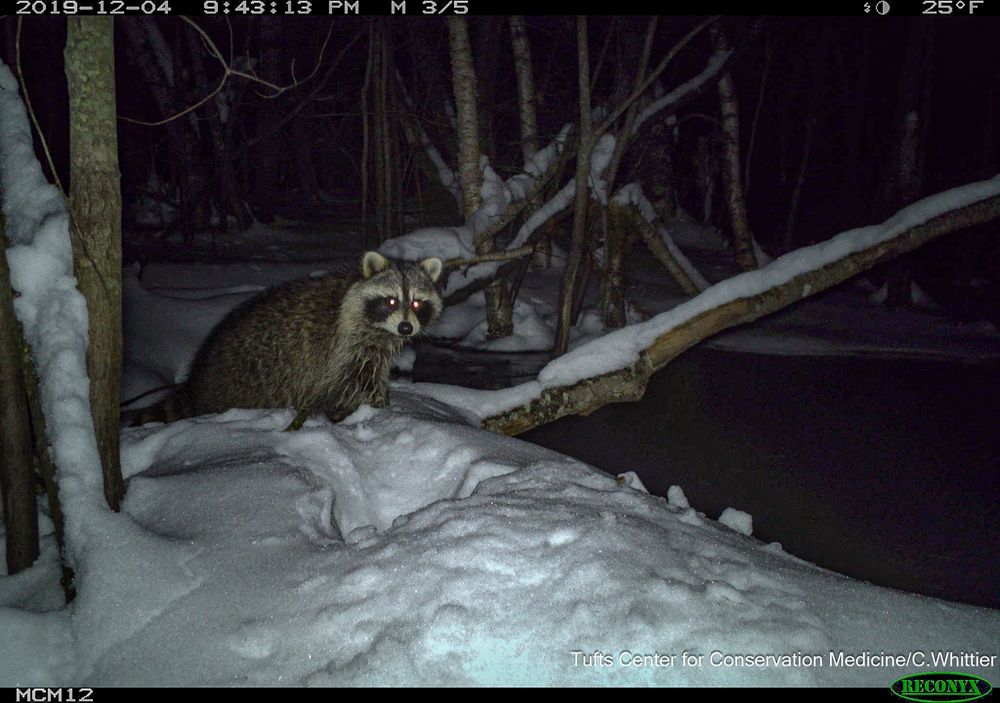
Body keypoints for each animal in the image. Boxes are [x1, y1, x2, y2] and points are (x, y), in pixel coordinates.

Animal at [135, 251, 443, 425]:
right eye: (390, 301)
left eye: (417, 303)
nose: (406, 328)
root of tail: (201, 373)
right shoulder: (345, 344)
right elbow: (354, 382)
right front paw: (372, 409)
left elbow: (374, 373)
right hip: (246, 378)